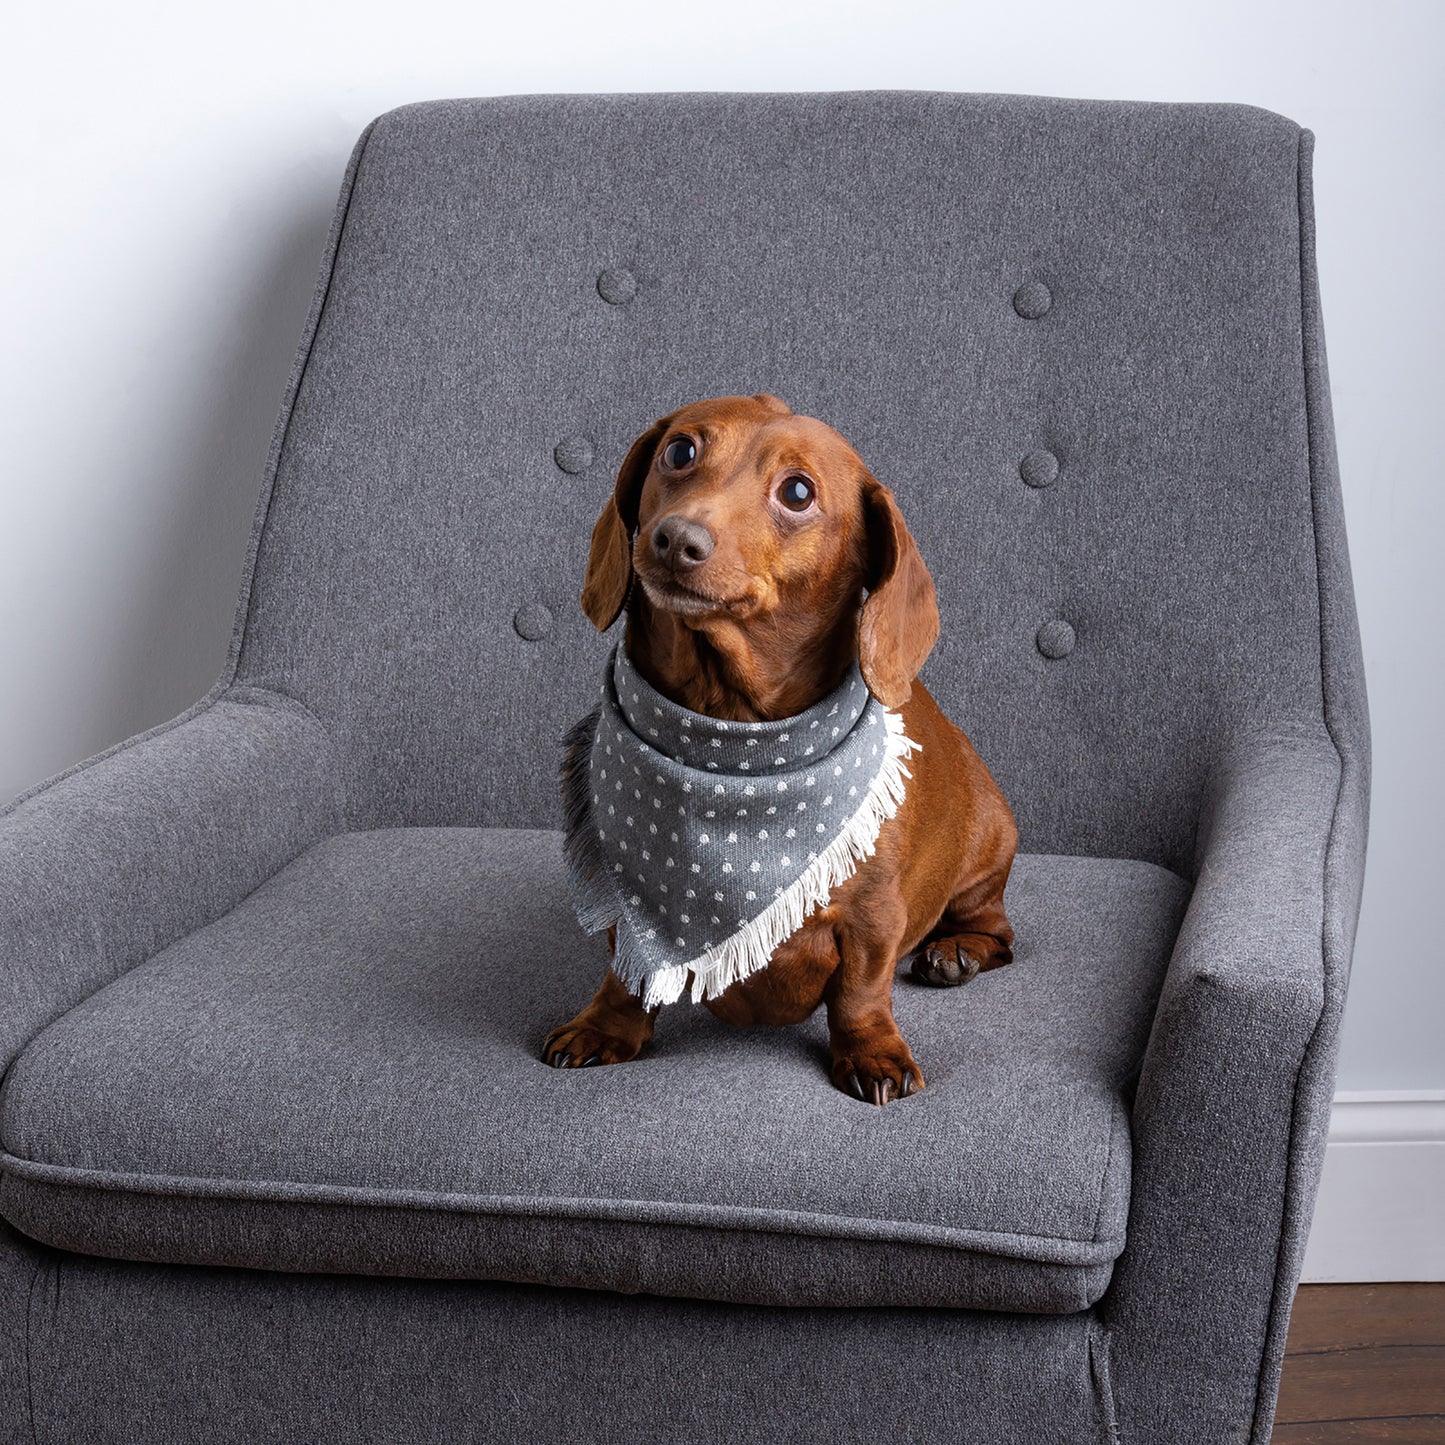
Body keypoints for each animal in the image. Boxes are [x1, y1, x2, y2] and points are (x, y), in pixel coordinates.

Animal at [543, 395, 1017, 1103]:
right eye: (679, 451)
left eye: (798, 492)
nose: (676, 540)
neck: (734, 738)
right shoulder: (626, 909)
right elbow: (628, 973)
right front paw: (604, 1026)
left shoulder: (874, 916)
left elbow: (861, 991)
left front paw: (872, 1052)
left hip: (986, 858)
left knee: (998, 933)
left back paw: (954, 953)